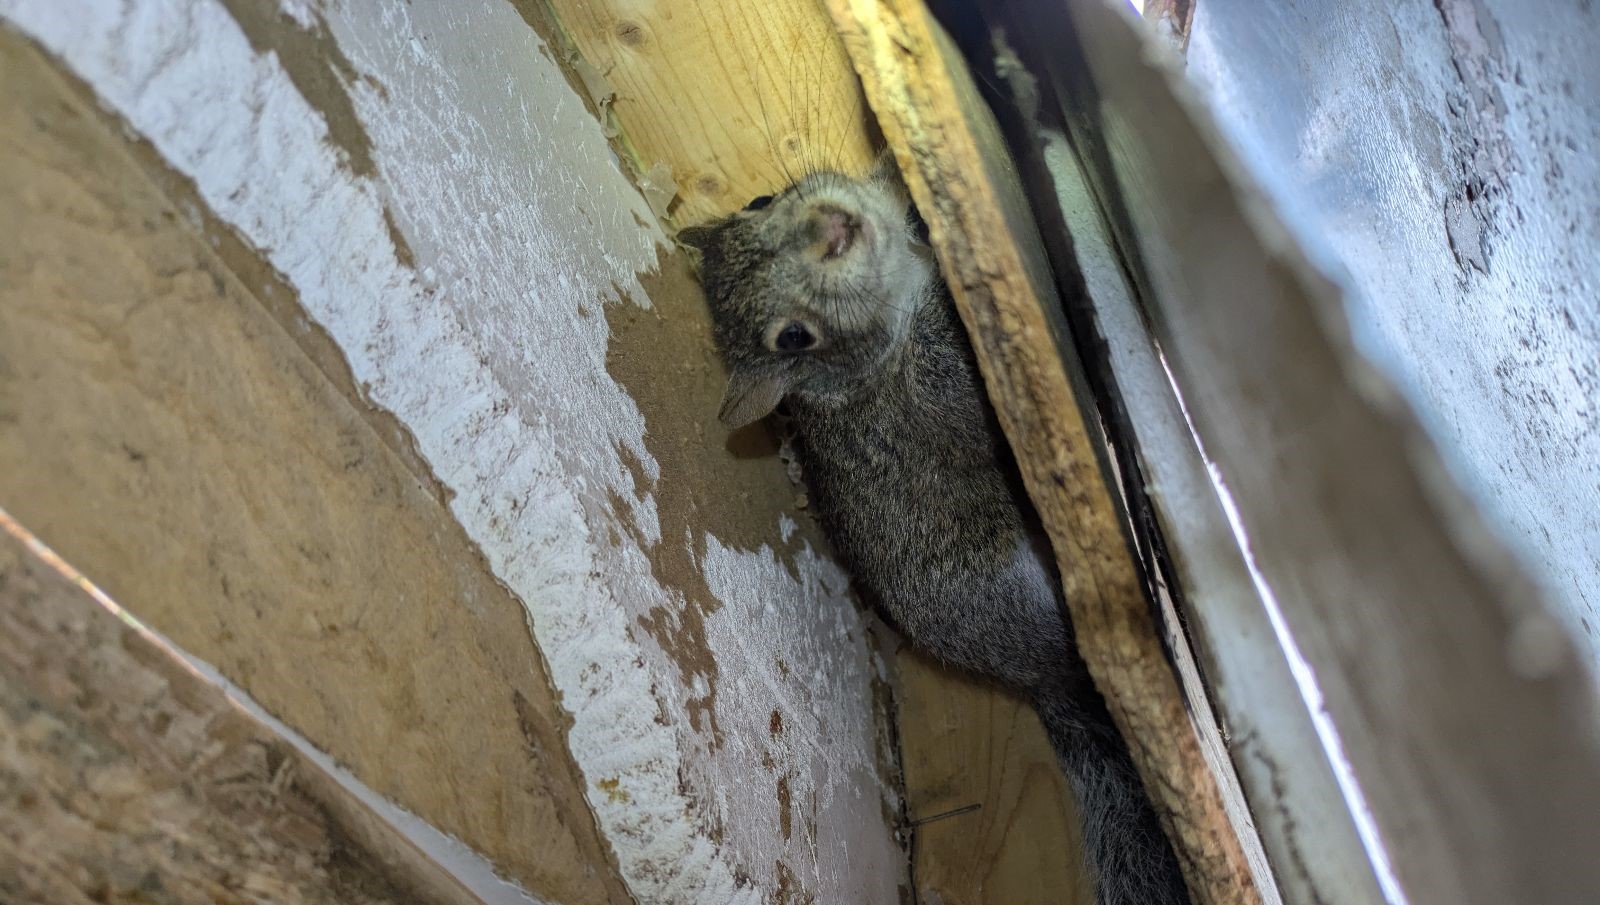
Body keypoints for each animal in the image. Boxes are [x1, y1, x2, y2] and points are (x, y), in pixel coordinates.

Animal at [680, 157, 1190, 905]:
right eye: (793, 337)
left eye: (760, 200)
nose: (832, 227)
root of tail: (1037, 678)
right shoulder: (931, 393)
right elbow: (974, 402)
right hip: (1018, 594)